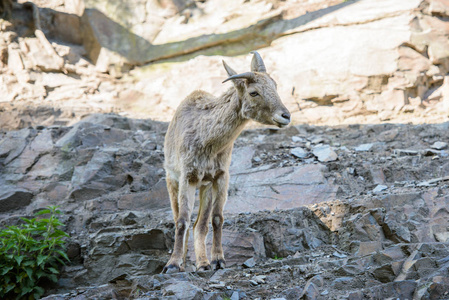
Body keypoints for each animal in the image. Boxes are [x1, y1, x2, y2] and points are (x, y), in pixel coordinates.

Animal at [162, 52, 290, 274]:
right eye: (254, 92)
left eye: (274, 85)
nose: (286, 116)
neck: (208, 140)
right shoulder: (188, 176)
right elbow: (182, 220)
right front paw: (173, 264)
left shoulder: (220, 176)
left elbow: (216, 219)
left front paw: (218, 260)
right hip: (173, 179)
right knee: (180, 218)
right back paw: (183, 260)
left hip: (204, 186)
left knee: (200, 225)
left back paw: (202, 262)